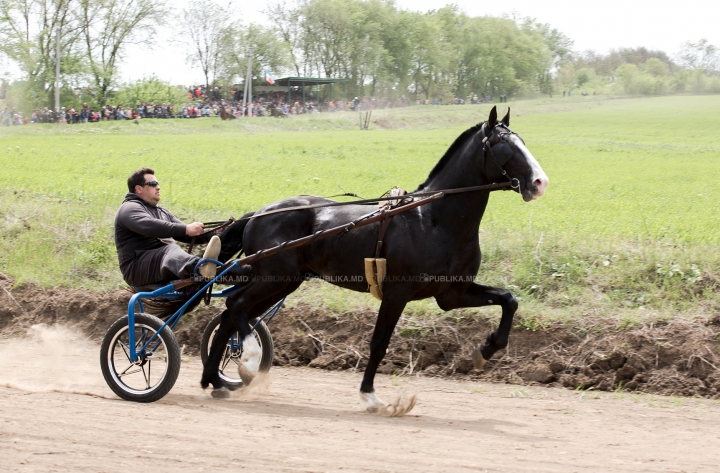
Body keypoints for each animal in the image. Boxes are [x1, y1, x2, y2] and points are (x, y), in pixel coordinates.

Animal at [205, 105, 548, 412]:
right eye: (505, 145)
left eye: (523, 142)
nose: (539, 182)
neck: (433, 218)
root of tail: (259, 213)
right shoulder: (397, 293)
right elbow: (379, 343)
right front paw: (370, 396)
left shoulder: (452, 293)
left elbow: (509, 300)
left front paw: (487, 349)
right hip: (273, 278)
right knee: (235, 306)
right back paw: (248, 358)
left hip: (282, 282)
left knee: (230, 315)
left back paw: (215, 380)